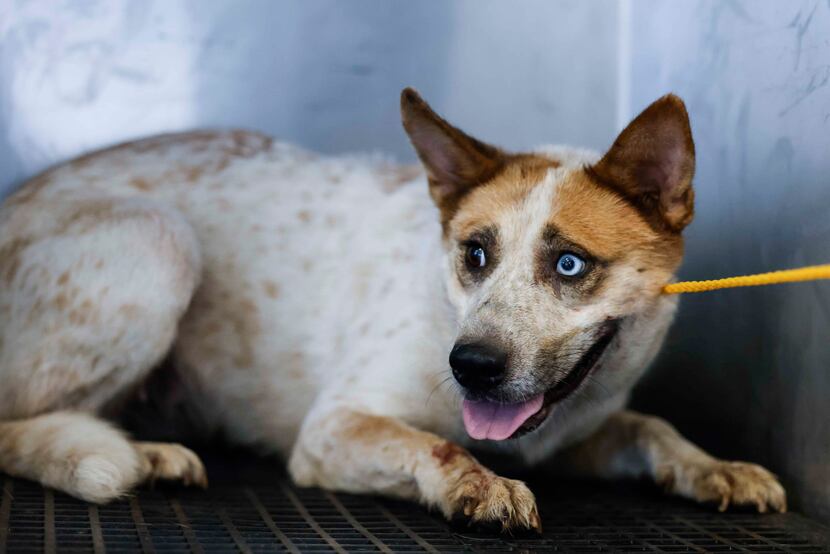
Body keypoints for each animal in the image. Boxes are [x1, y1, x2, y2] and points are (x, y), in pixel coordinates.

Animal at [0, 88, 788, 528]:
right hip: (161, 240)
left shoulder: (572, 435)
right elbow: (432, 444)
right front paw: (478, 486)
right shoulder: (332, 428)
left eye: (569, 264)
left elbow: (656, 429)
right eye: (475, 253)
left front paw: (716, 467)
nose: (471, 367)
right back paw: (139, 454)